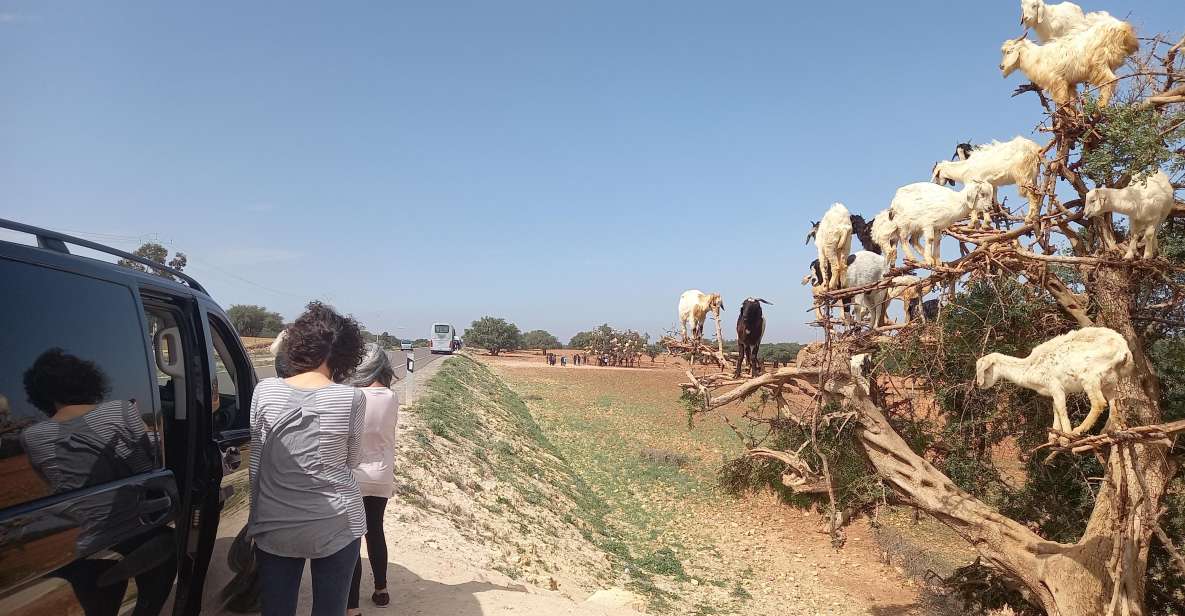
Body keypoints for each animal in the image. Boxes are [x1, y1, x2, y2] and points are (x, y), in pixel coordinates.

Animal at [976, 326, 1132, 438]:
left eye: (986, 369)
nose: (979, 384)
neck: (1030, 367)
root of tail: (1124, 350)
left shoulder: (1055, 386)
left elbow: (1061, 409)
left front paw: (1065, 437)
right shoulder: (1057, 390)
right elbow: (1055, 408)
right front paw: (1053, 438)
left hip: (1089, 376)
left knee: (1099, 403)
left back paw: (1078, 430)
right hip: (1109, 381)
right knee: (1113, 403)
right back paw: (1110, 430)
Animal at [1000, 18, 1137, 107]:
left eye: (1009, 51)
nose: (1001, 66)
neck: (1037, 57)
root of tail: (1122, 28)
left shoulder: (1057, 82)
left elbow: (1062, 103)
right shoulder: (1069, 83)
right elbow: (1071, 101)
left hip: (1099, 65)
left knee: (1110, 80)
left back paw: (1100, 107)